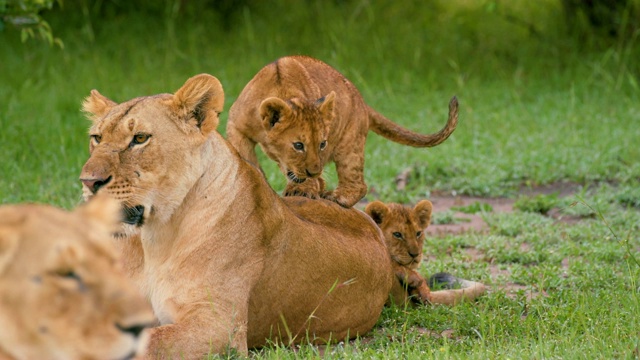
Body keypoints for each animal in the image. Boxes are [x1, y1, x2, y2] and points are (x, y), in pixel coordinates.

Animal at [77, 73, 392, 358]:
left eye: (140, 138)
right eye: (97, 138)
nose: (89, 182)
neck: (153, 237)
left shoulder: (220, 327)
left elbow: (149, 341)